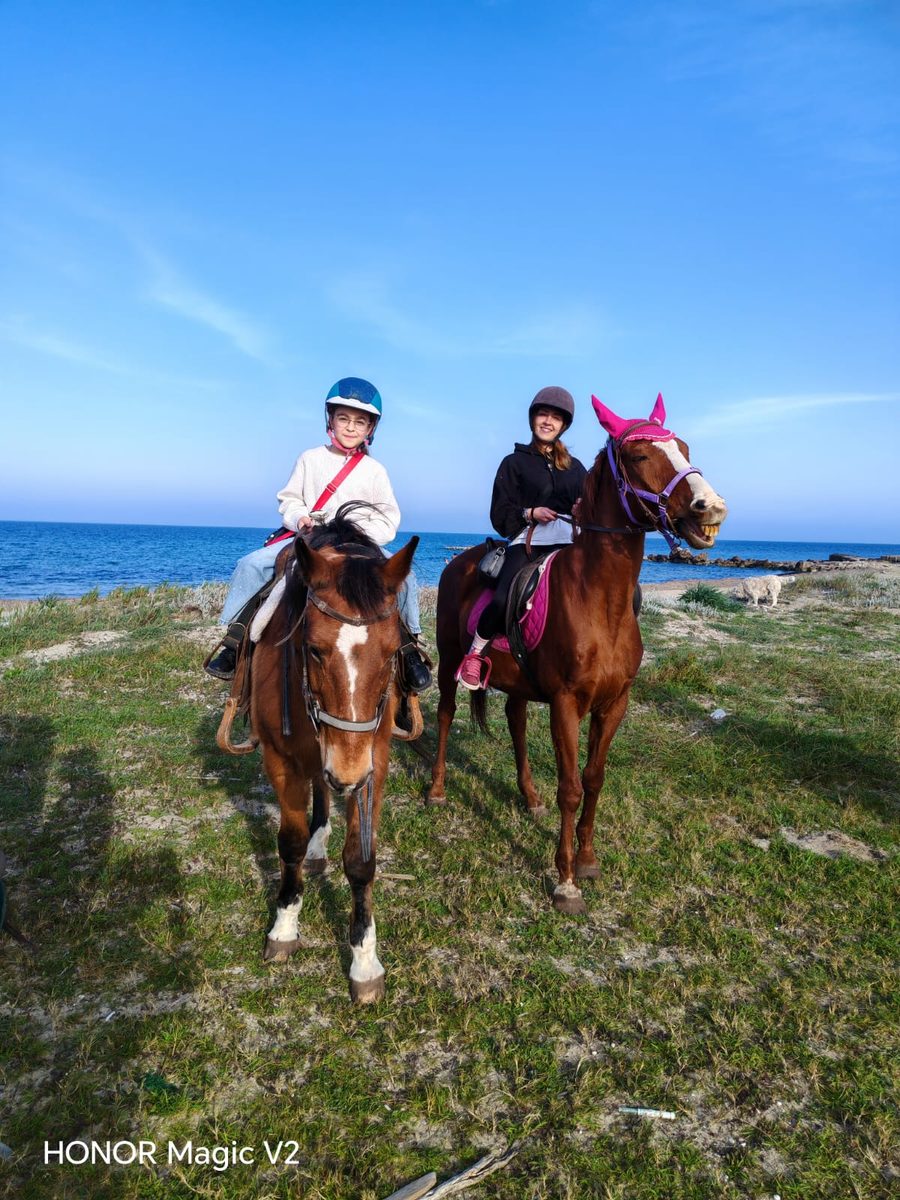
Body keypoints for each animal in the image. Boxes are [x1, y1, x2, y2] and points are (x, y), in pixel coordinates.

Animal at [249, 505, 417, 1002]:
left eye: (394, 650)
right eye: (313, 649)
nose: (346, 770)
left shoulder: (372, 763)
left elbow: (360, 862)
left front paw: (364, 961)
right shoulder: (281, 760)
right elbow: (289, 842)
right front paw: (284, 925)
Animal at [426, 393, 728, 914]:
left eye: (686, 448)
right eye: (639, 455)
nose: (710, 509)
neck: (598, 602)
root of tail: (459, 561)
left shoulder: (613, 704)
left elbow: (593, 778)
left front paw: (586, 860)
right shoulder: (566, 704)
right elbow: (569, 788)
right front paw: (565, 880)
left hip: (518, 683)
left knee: (515, 722)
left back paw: (529, 796)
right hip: (448, 661)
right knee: (445, 714)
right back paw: (439, 789)